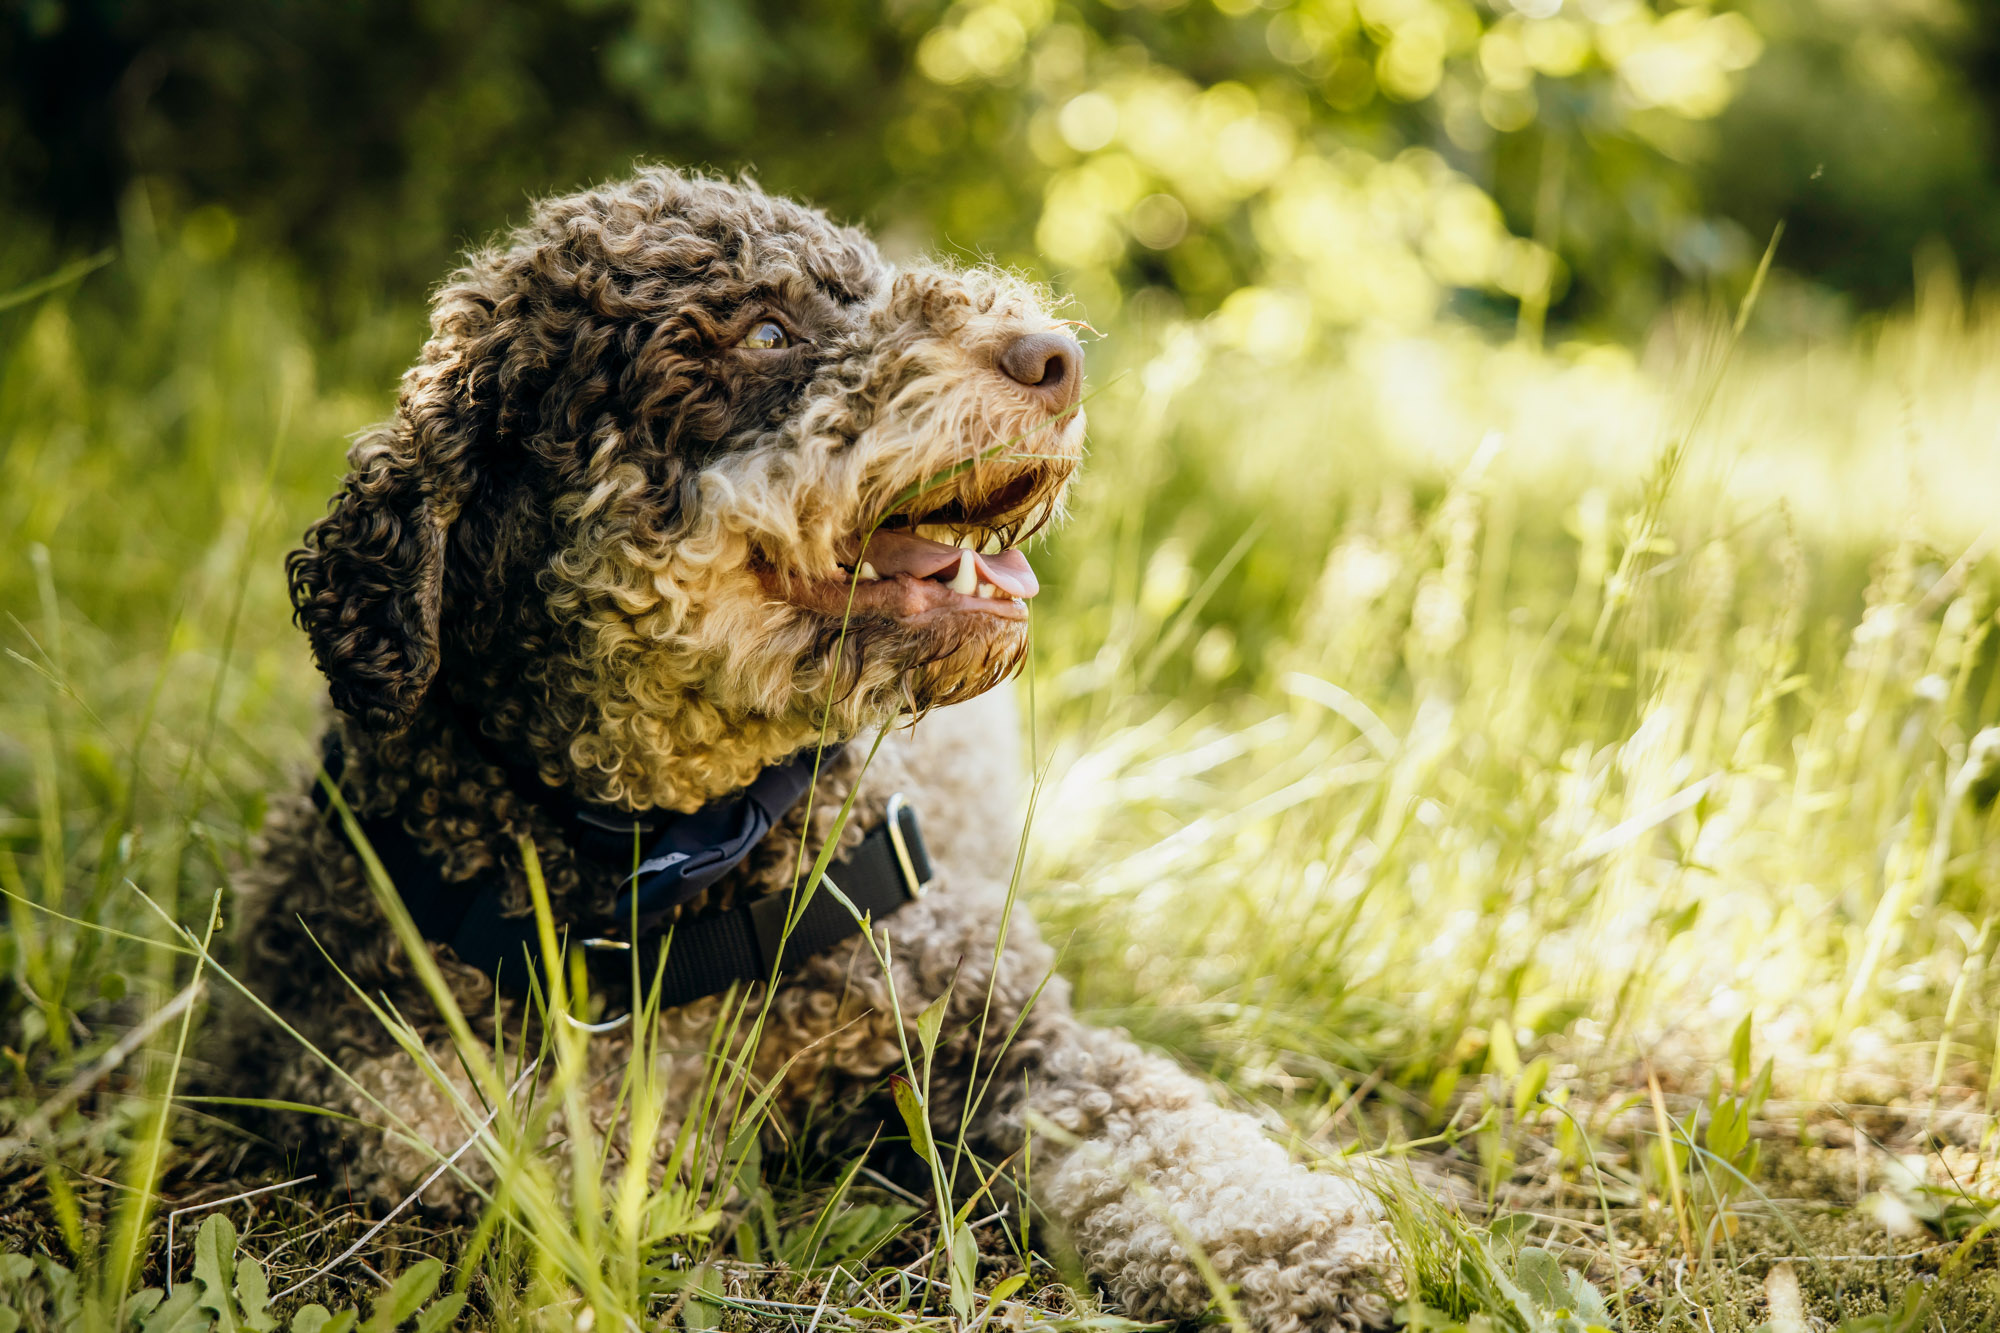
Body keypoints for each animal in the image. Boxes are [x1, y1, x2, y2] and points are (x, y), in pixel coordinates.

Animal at [227, 169, 1400, 1328]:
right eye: (764, 331)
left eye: (870, 280)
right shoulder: (357, 1052)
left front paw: (1290, 1239)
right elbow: (492, 1135)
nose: (1057, 358)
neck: (683, 853)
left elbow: (1156, 1129)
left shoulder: (999, 1025)